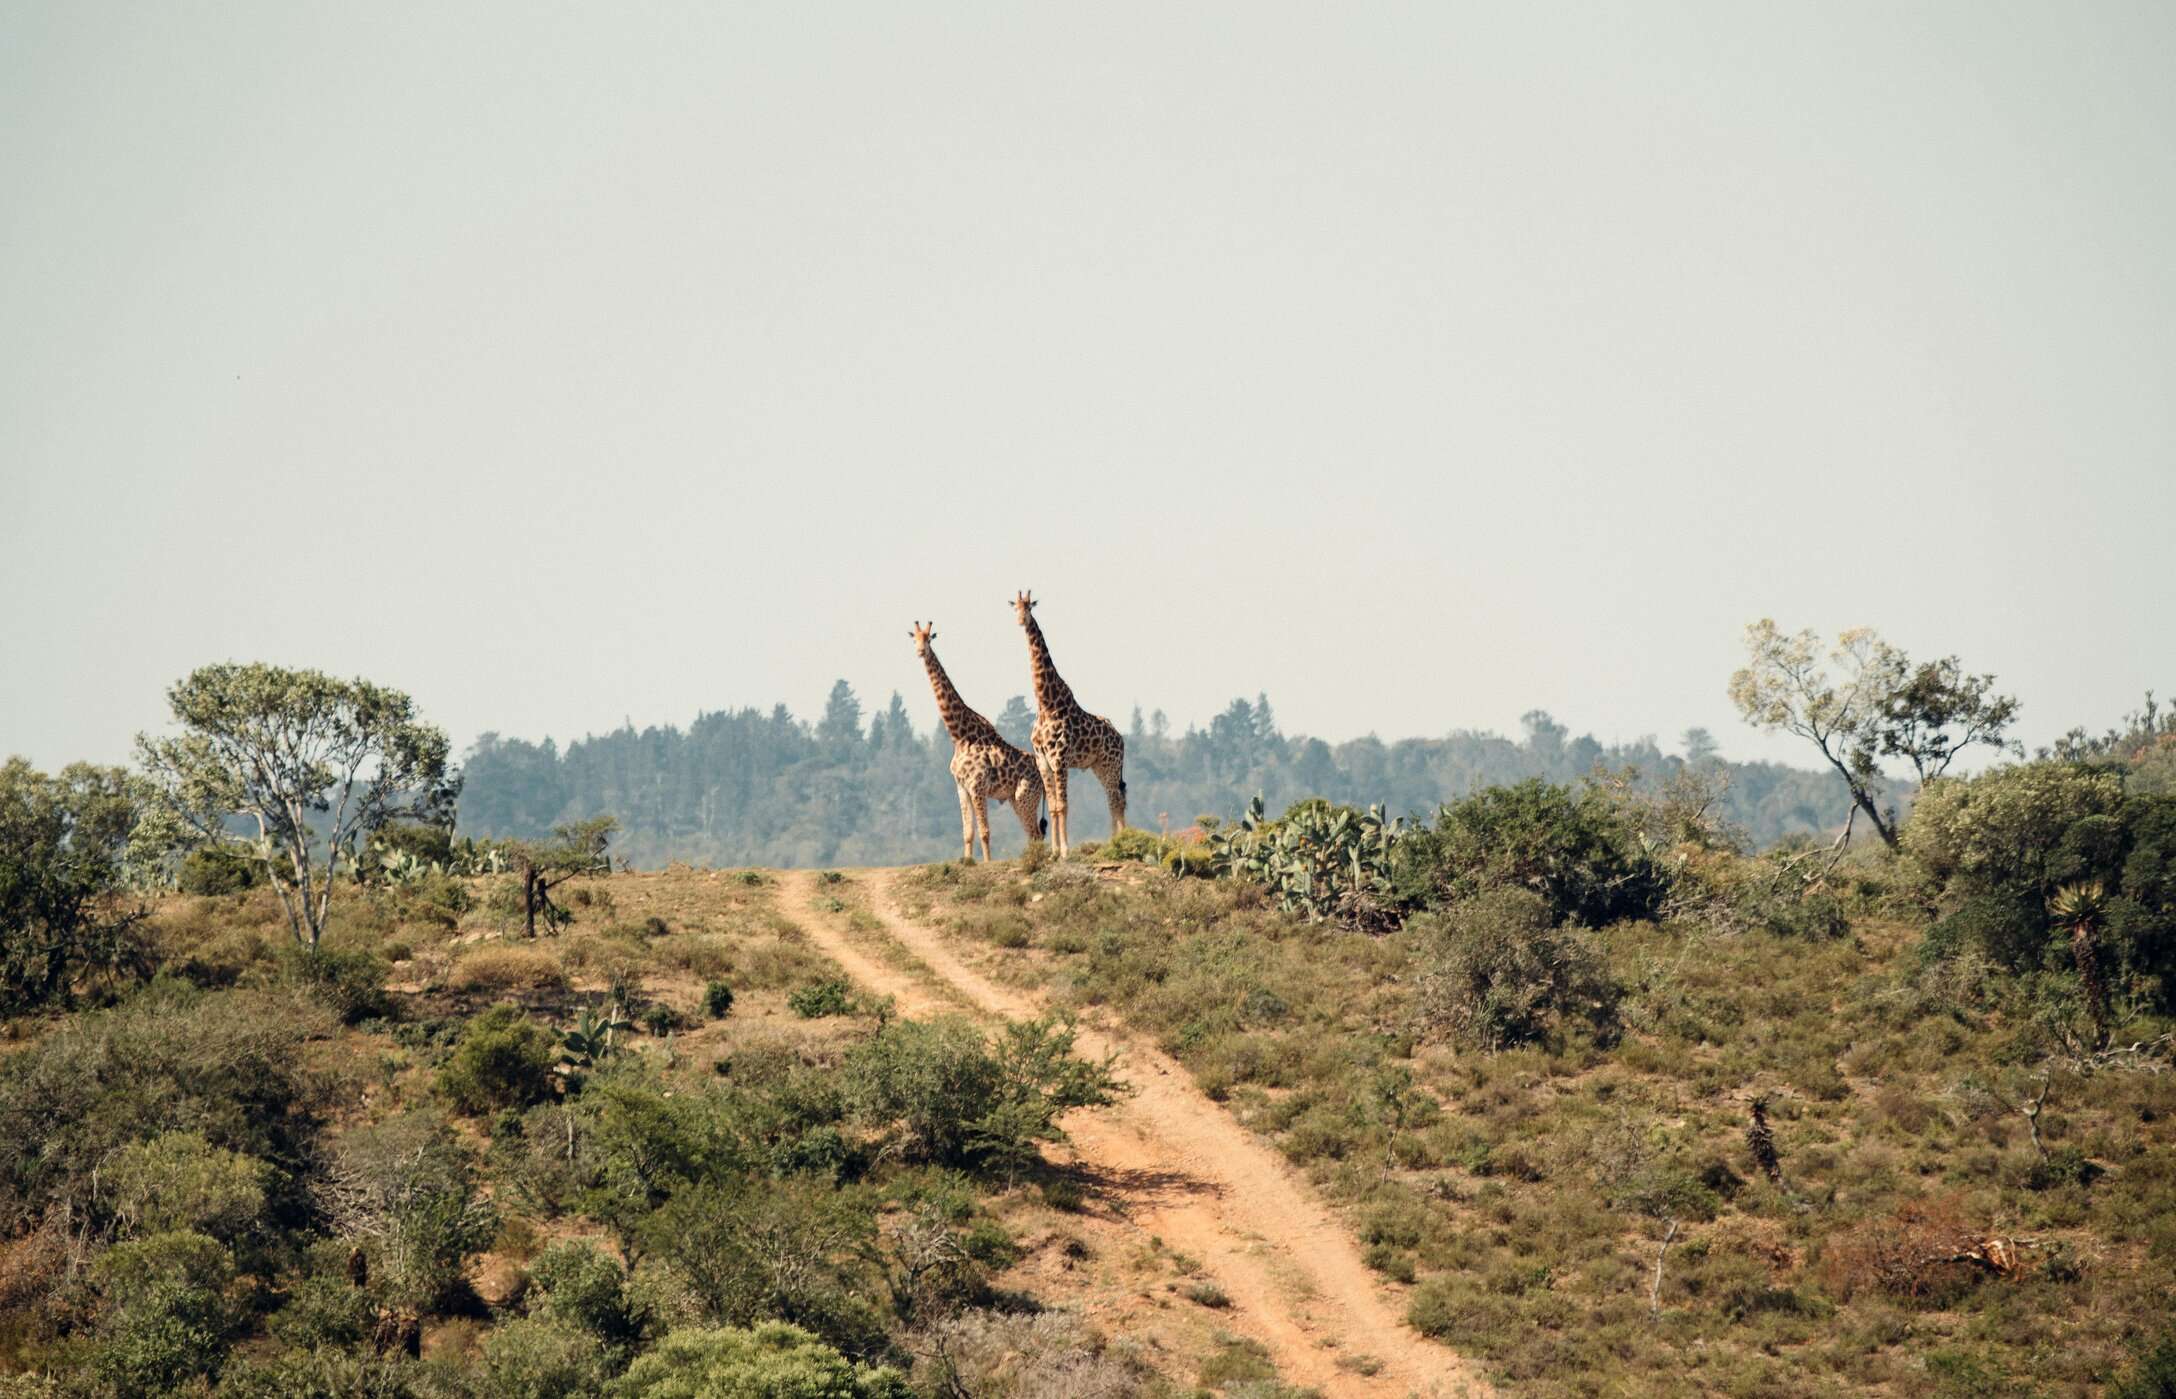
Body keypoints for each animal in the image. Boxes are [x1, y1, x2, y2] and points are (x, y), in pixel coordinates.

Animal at [912, 621, 1046, 861]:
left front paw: (987, 863)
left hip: (1025, 796)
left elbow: (984, 831)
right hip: (1015, 798)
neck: (959, 736)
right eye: (914, 638)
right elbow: (968, 832)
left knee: (1036, 833)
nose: (920, 651)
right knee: (1033, 834)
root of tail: (1041, 771)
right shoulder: (961, 787)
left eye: (928, 638)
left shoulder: (977, 785)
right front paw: (967, 861)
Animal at [1012, 591, 1125, 858]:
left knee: (1117, 799)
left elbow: (1063, 805)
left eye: (1029, 607)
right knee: (1114, 799)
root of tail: (1121, 738)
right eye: (1015, 607)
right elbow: (1054, 806)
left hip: (1111, 763)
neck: (1046, 704)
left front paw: (1065, 850)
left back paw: (1120, 842)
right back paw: (1115, 841)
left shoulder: (1060, 759)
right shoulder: (1043, 761)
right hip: (1099, 766)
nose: (1021, 620)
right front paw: (1053, 852)